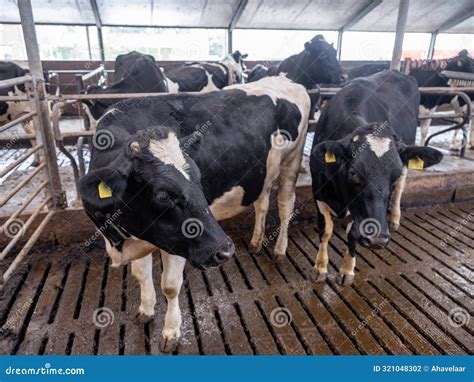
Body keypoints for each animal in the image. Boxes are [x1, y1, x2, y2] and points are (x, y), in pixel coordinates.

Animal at [78, 75, 312, 352]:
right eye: (163, 196)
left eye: (200, 180)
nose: (225, 250)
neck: (121, 243)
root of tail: (284, 78)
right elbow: (141, 275)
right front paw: (145, 310)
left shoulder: (179, 241)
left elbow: (170, 286)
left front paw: (170, 332)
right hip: (263, 171)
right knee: (262, 202)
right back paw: (256, 242)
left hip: (292, 160)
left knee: (286, 205)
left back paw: (279, 249)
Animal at [310, 71, 442, 286]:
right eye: (354, 173)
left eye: (393, 176)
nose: (379, 239)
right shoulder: (318, 191)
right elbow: (326, 230)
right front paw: (320, 267)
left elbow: (353, 233)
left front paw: (347, 270)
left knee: (400, 190)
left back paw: (395, 218)